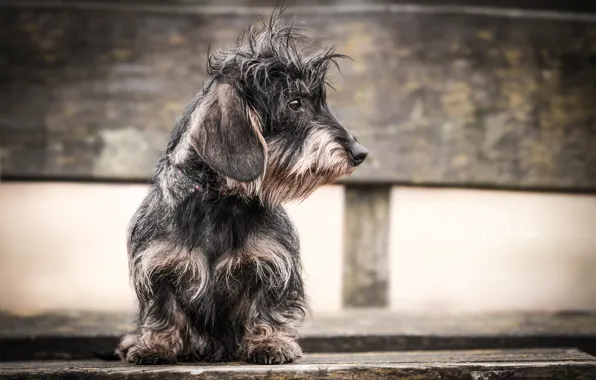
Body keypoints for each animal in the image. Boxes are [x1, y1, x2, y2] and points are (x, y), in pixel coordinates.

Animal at [114, 8, 368, 366]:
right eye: (294, 103)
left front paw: (270, 343)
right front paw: (155, 346)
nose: (360, 153)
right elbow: (163, 310)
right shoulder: (158, 265)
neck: (222, 203)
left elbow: (266, 308)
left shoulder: (272, 264)